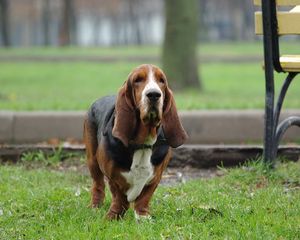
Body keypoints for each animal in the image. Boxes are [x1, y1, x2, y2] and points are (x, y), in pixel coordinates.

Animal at [84, 64, 188, 221]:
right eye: (138, 80)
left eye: (162, 80)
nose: (154, 94)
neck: (142, 143)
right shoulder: (112, 176)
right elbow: (118, 197)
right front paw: (113, 216)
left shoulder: (156, 177)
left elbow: (144, 198)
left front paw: (143, 217)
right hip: (92, 160)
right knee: (98, 184)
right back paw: (95, 206)